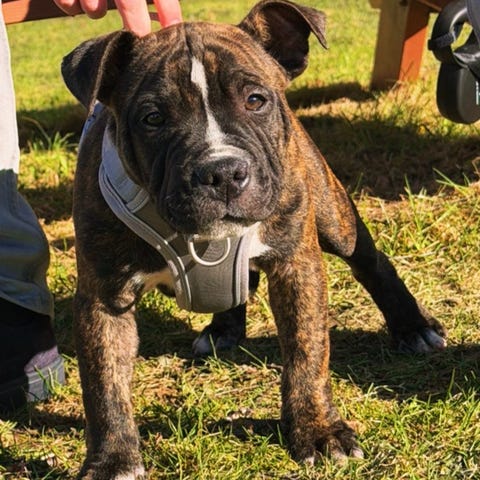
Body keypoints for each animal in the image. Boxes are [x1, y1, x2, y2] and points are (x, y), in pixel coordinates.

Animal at [62, 1, 447, 477]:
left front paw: (318, 430)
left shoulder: (297, 266)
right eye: (153, 119)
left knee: (371, 263)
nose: (223, 171)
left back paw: (413, 327)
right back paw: (223, 329)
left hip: (333, 214)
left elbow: (306, 353)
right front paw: (113, 460)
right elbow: (104, 385)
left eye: (255, 101)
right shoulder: (103, 299)